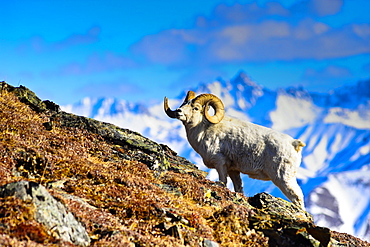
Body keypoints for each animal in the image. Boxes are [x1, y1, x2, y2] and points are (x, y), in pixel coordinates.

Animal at [165, 90, 306, 208]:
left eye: (195, 108)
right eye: (184, 104)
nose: (178, 111)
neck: (203, 131)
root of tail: (294, 144)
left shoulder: (220, 164)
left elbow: (223, 182)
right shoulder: (233, 170)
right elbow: (238, 188)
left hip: (283, 178)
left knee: (297, 197)